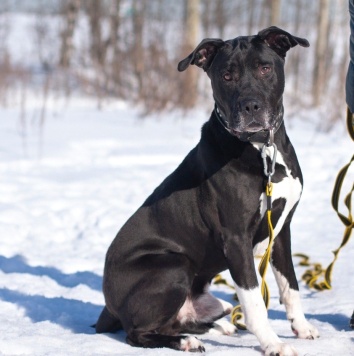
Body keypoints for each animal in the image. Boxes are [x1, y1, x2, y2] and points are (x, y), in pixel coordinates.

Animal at [95, 26, 320, 354]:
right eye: (226, 76)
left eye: (265, 68)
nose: (251, 106)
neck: (263, 149)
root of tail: (108, 306)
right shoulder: (236, 239)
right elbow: (254, 303)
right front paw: (273, 344)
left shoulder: (281, 230)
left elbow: (290, 286)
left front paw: (302, 328)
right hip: (173, 265)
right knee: (137, 333)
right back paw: (186, 341)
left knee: (181, 319)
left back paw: (218, 327)